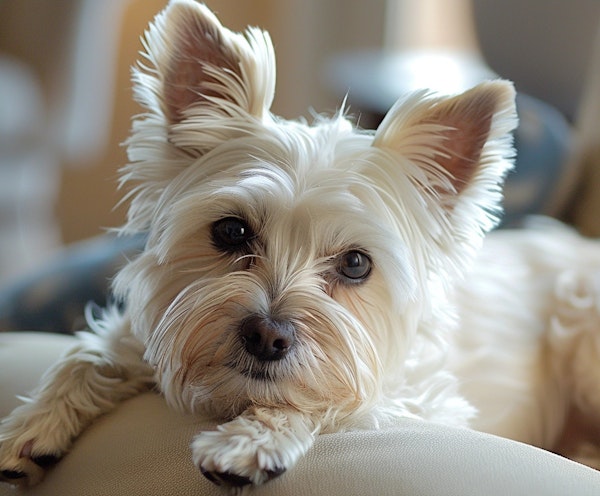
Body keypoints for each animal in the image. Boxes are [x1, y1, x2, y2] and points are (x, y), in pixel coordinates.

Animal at [1, 0, 600, 488]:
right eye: (231, 231)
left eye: (356, 263)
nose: (267, 337)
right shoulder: (154, 327)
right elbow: (90, 352)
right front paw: (30, 426)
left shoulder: (420, 399)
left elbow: (324, 397)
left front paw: (251, 440)